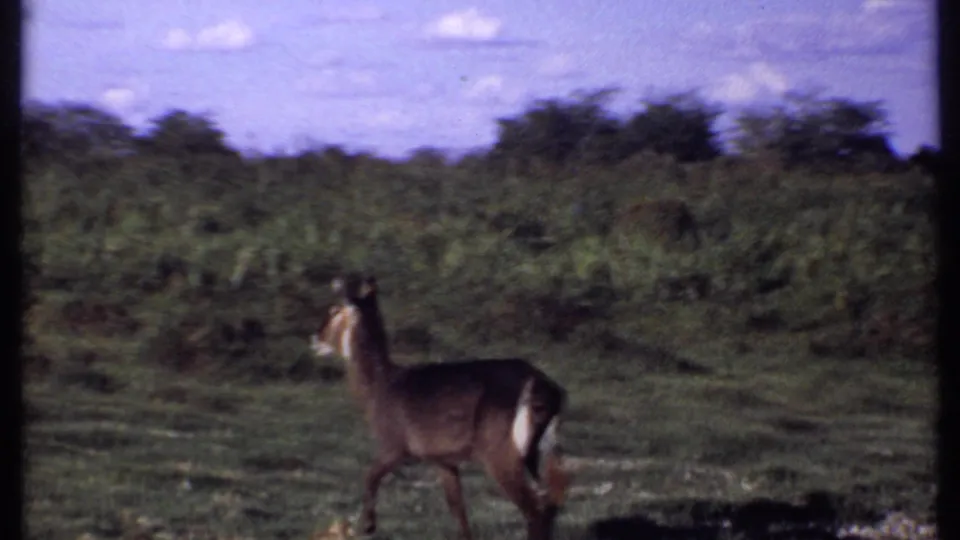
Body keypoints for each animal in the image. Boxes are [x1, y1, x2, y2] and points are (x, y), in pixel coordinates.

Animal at [309, 275, 570, 540]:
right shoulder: (442, 460)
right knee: (551, 506)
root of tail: (545, 387)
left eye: (335, 310)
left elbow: (370, 476)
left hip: (502, 457)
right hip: (547, 454)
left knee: (535, 512)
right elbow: (458, 510)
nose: (315, 338)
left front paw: (369, 526)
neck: (380, 386)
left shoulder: (396, 447)